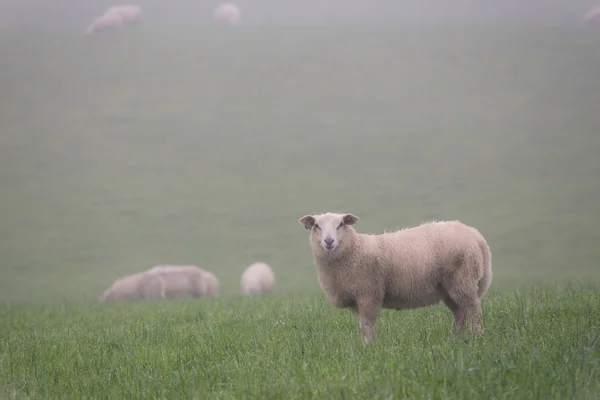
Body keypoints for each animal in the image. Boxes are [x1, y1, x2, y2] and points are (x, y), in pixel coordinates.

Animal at [298, 211, 492, 346]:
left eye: (340, 224)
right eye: (316, 226)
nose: (329, 241)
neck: (353, 250)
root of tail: (476, 236)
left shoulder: (369, 293)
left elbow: (367, 324)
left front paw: (370, 347)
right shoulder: (356, 299)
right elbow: (362, 325)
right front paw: (369, 345)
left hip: (463, 279)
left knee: (473, 309)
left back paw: (477, 337)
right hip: (449, 287)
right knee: (460, 313)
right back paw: (453, 339)